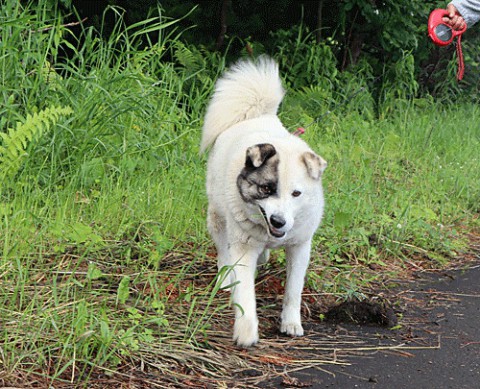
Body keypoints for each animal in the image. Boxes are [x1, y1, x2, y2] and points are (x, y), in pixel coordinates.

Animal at [201, 56, 328, 348]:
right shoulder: (243, 250)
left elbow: (293, 290)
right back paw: (225, 278)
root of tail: (258, 114)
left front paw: (291, 323)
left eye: (296, 194)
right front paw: (246, 331)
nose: (278, 221)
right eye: (267, 189)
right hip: (217, 216)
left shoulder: (300, 248)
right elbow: (245, 294)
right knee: (223, 250)